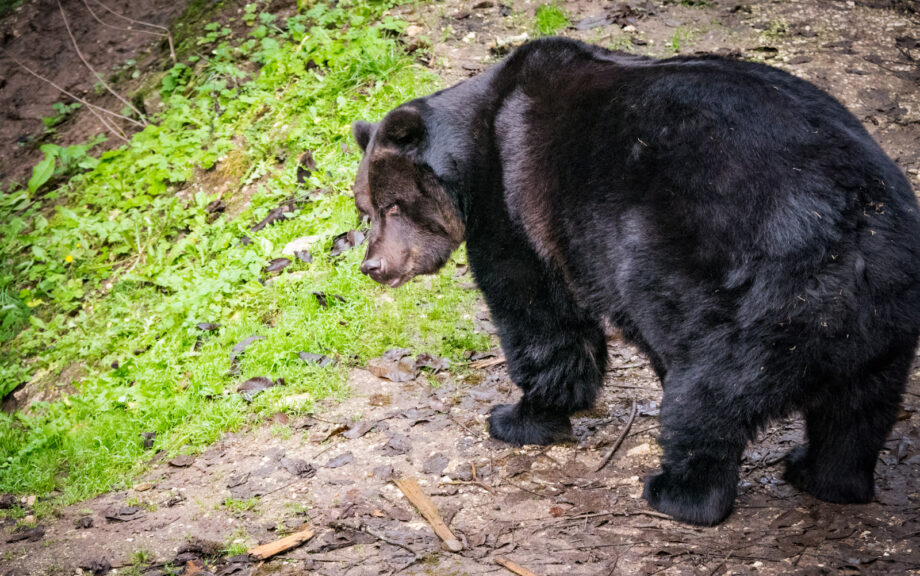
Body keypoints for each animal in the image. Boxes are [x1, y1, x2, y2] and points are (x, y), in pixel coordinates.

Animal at [348, 37, 920, 528]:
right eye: (365, 208)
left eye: (394, 206)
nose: (374, 266)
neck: (476, 147)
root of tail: (849, 228)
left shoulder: (517, 209)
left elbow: (538, 316)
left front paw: (519, 416)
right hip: (880, 318)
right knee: (858, 408)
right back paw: (825, 475)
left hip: (738, 288)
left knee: (709, 392)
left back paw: (679, 491)